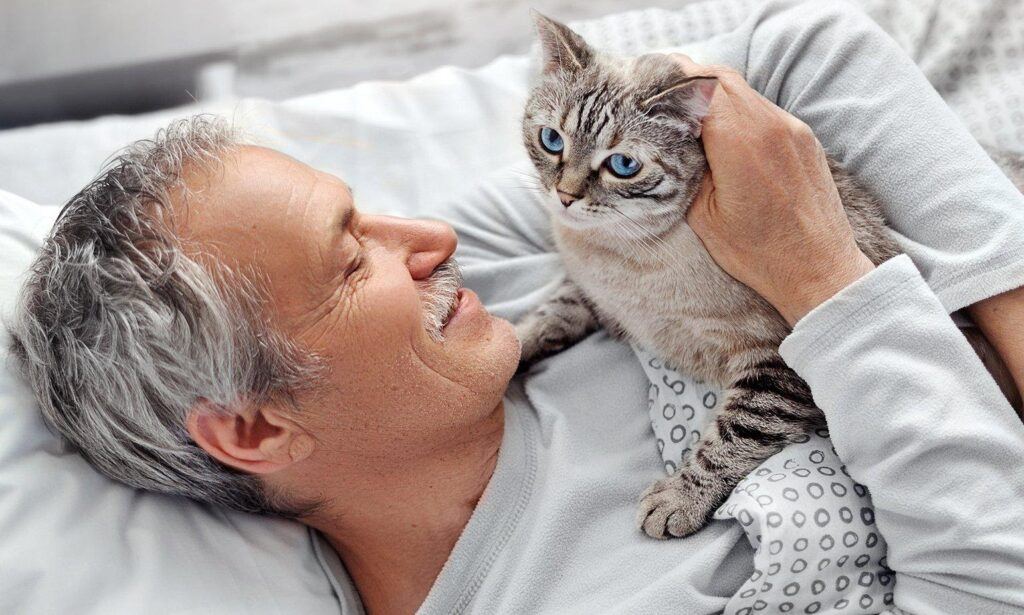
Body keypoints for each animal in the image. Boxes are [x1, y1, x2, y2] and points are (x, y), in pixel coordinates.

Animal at [520, 13, 1024, 536]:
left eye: (622, 165)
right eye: (551, 140)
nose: (565, 196)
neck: (622, 256)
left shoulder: (777, 360)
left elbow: (736, 433)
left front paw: (680, 497)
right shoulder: (589, 290)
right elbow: (551, 313)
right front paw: (512, 345)